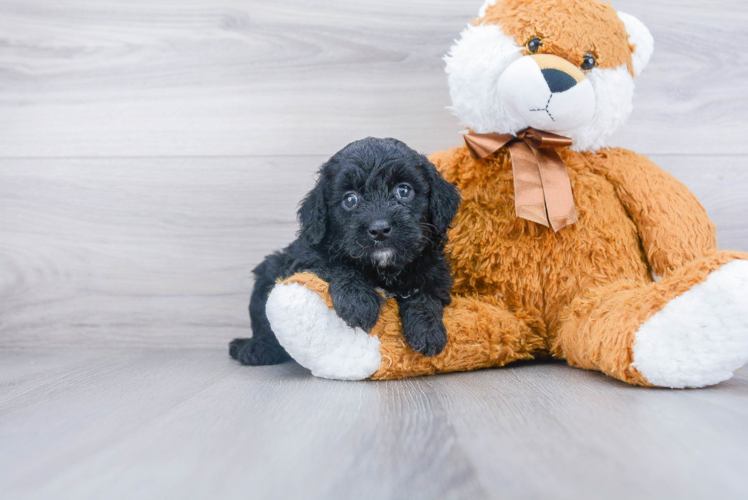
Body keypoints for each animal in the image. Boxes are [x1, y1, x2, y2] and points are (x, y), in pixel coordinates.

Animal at [229, 139, 462, 366]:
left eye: (403, 191)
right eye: (350, 199)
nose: (379, 229)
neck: (383, 269)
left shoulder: (435, 274)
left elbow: (426, 295)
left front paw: (427, 331)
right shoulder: (304, 257)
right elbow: (335, 265)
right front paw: (358, 301)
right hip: (267, 273)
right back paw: (256, 348)